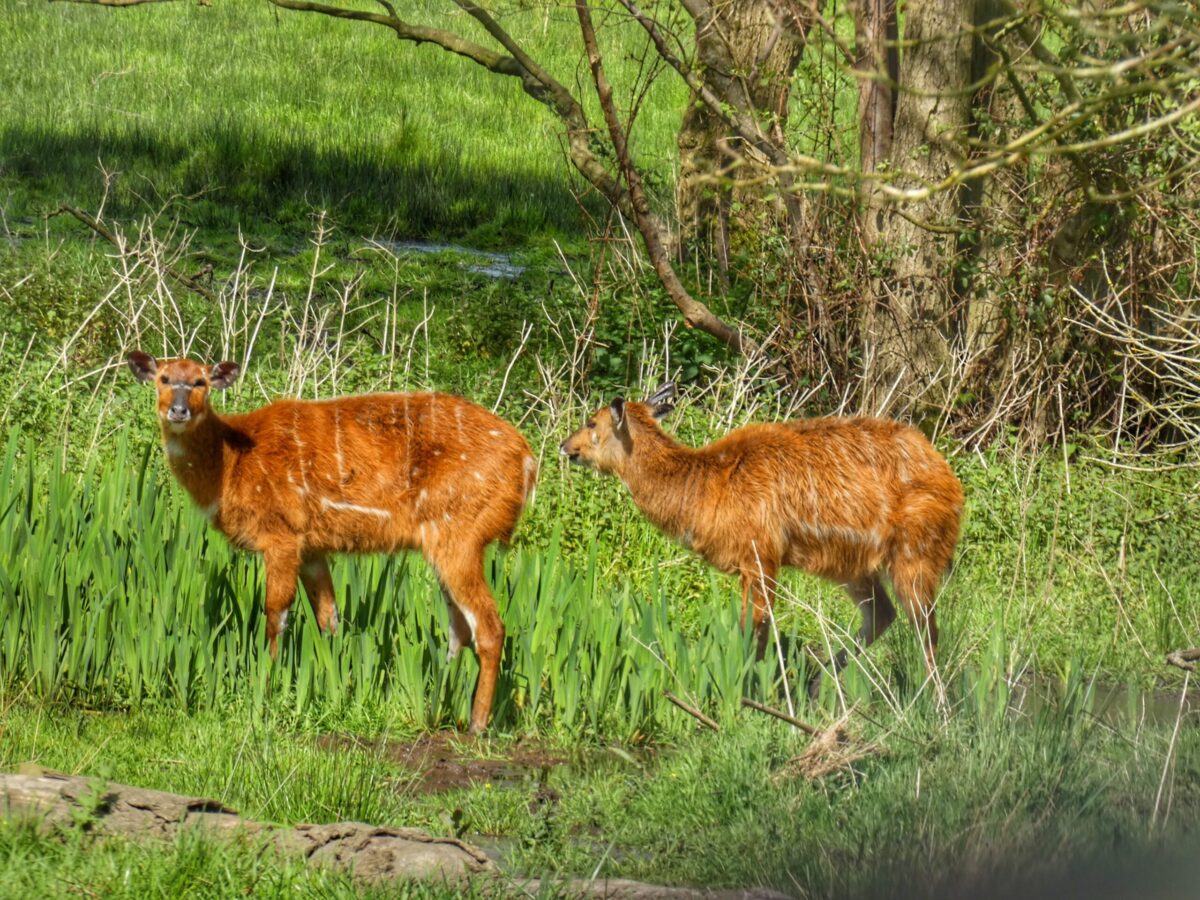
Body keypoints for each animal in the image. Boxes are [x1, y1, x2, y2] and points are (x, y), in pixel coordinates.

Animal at [126, 352, 535, 734]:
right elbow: (330, 619)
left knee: (489, 626)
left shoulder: (281, 535)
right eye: (164, 378)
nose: (178, 410)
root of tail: (528, 461)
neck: (231, 464)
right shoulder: (312, 548)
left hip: (459, 533)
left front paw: (267, 686)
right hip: (443, 542)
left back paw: (477, 724)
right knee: (458, 630)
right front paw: (336, 688)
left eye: (200, 381)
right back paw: (438, 709)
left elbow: (276, 614)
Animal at [561, 384, 964, 686]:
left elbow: (750, 629)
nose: (566, 446)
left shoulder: (760, 553)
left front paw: (742, 693)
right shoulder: (760, 561)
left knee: (927, 630)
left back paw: (935, 706)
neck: (706, 489)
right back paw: (816, 686)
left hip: (916, 552)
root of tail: (952, 482)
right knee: (883, 615)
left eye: (591, 420)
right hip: (853, 566)